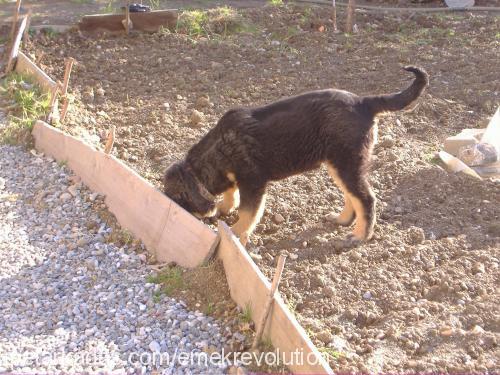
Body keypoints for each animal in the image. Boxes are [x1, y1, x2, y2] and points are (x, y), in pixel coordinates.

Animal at [162, 65, 428, 247]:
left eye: (179, 199)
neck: (217, 150)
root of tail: (364, 102)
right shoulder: (237, 177)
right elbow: (231, 192)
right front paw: (225, 208)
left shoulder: (253, 182)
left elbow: (248, 213)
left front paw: (235, 234)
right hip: (339, 163)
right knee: (352, 196)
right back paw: (342, 220)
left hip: (347, 162)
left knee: (366, 199)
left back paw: (359, 236)